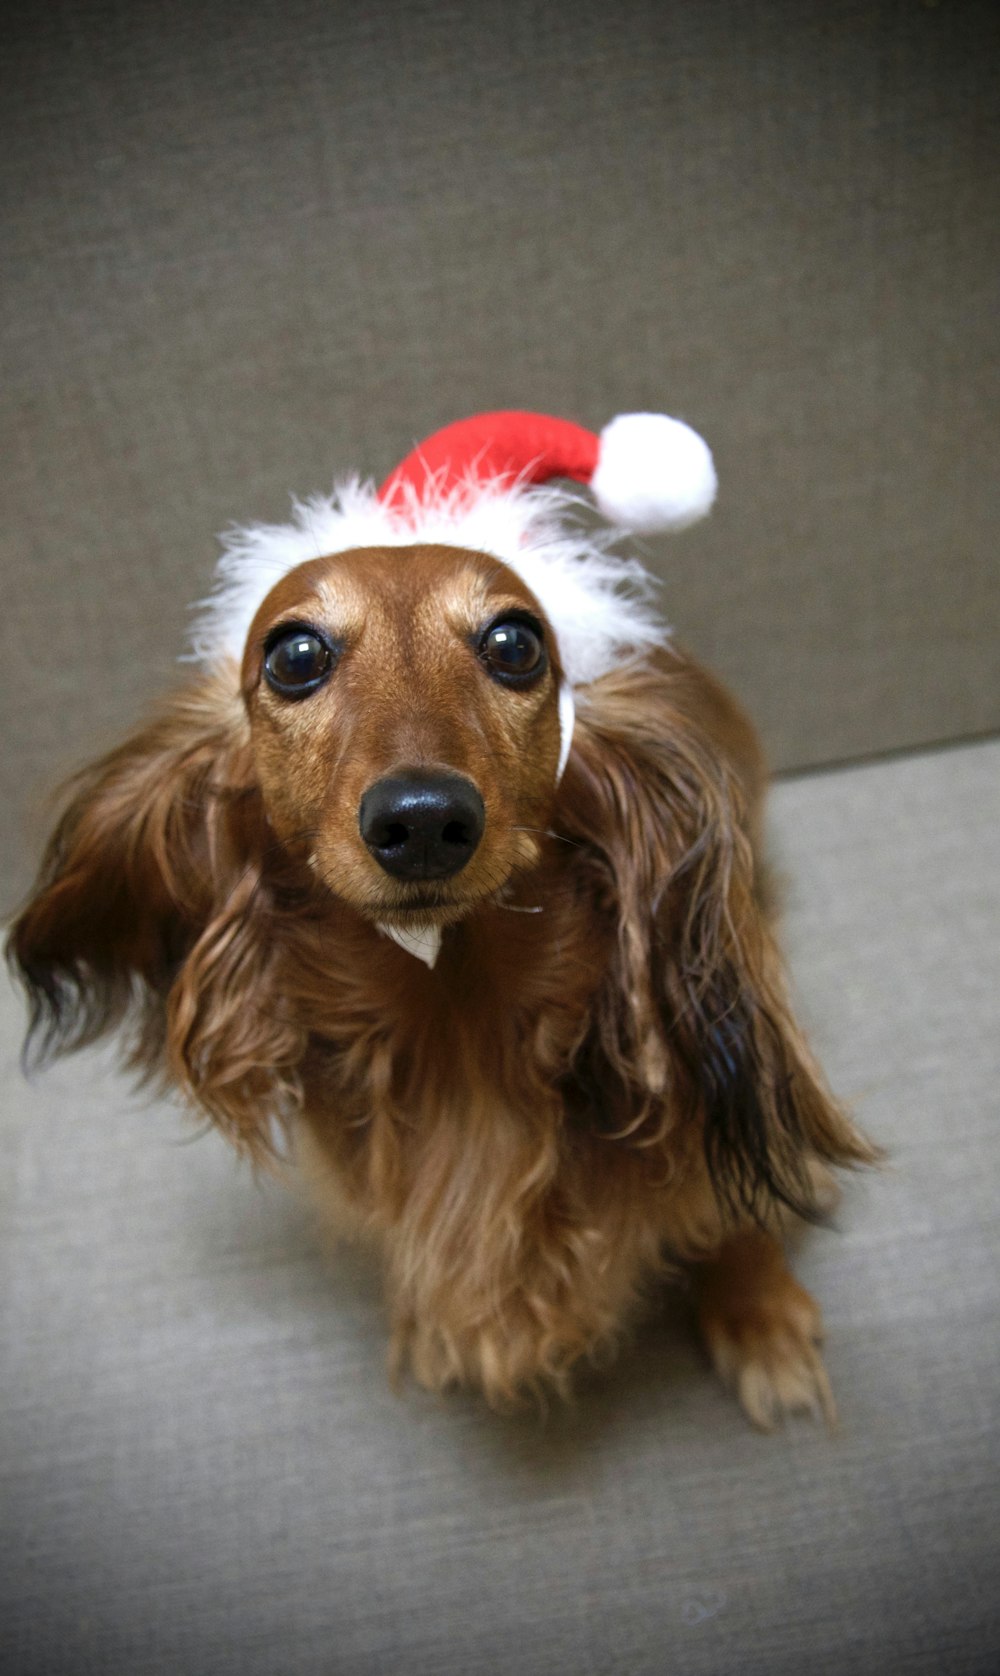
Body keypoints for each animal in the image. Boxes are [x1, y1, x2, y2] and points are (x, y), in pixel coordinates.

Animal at [7, 412, 871, 1421]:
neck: (463, 1023)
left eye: (515, 643)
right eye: (294, 656)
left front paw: (759, 1314)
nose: (422, 819)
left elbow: (727, 1209)